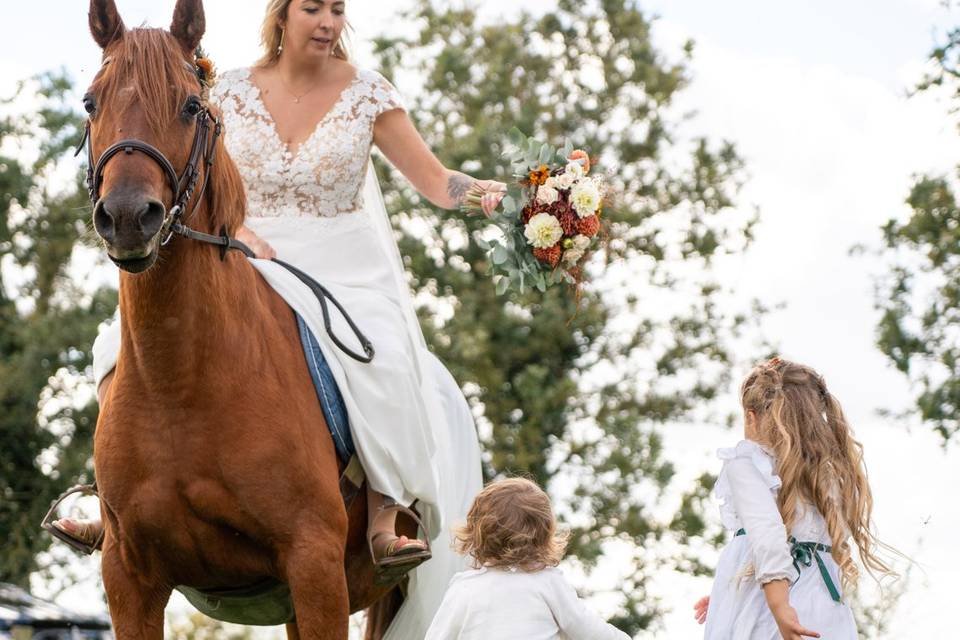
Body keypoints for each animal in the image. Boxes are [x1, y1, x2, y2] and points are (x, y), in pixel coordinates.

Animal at [86, 0, 404, 636]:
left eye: (190, 106)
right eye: (90, 103)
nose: (128, 217)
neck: (181, 385)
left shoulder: (314, 566)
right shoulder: (128, 579)